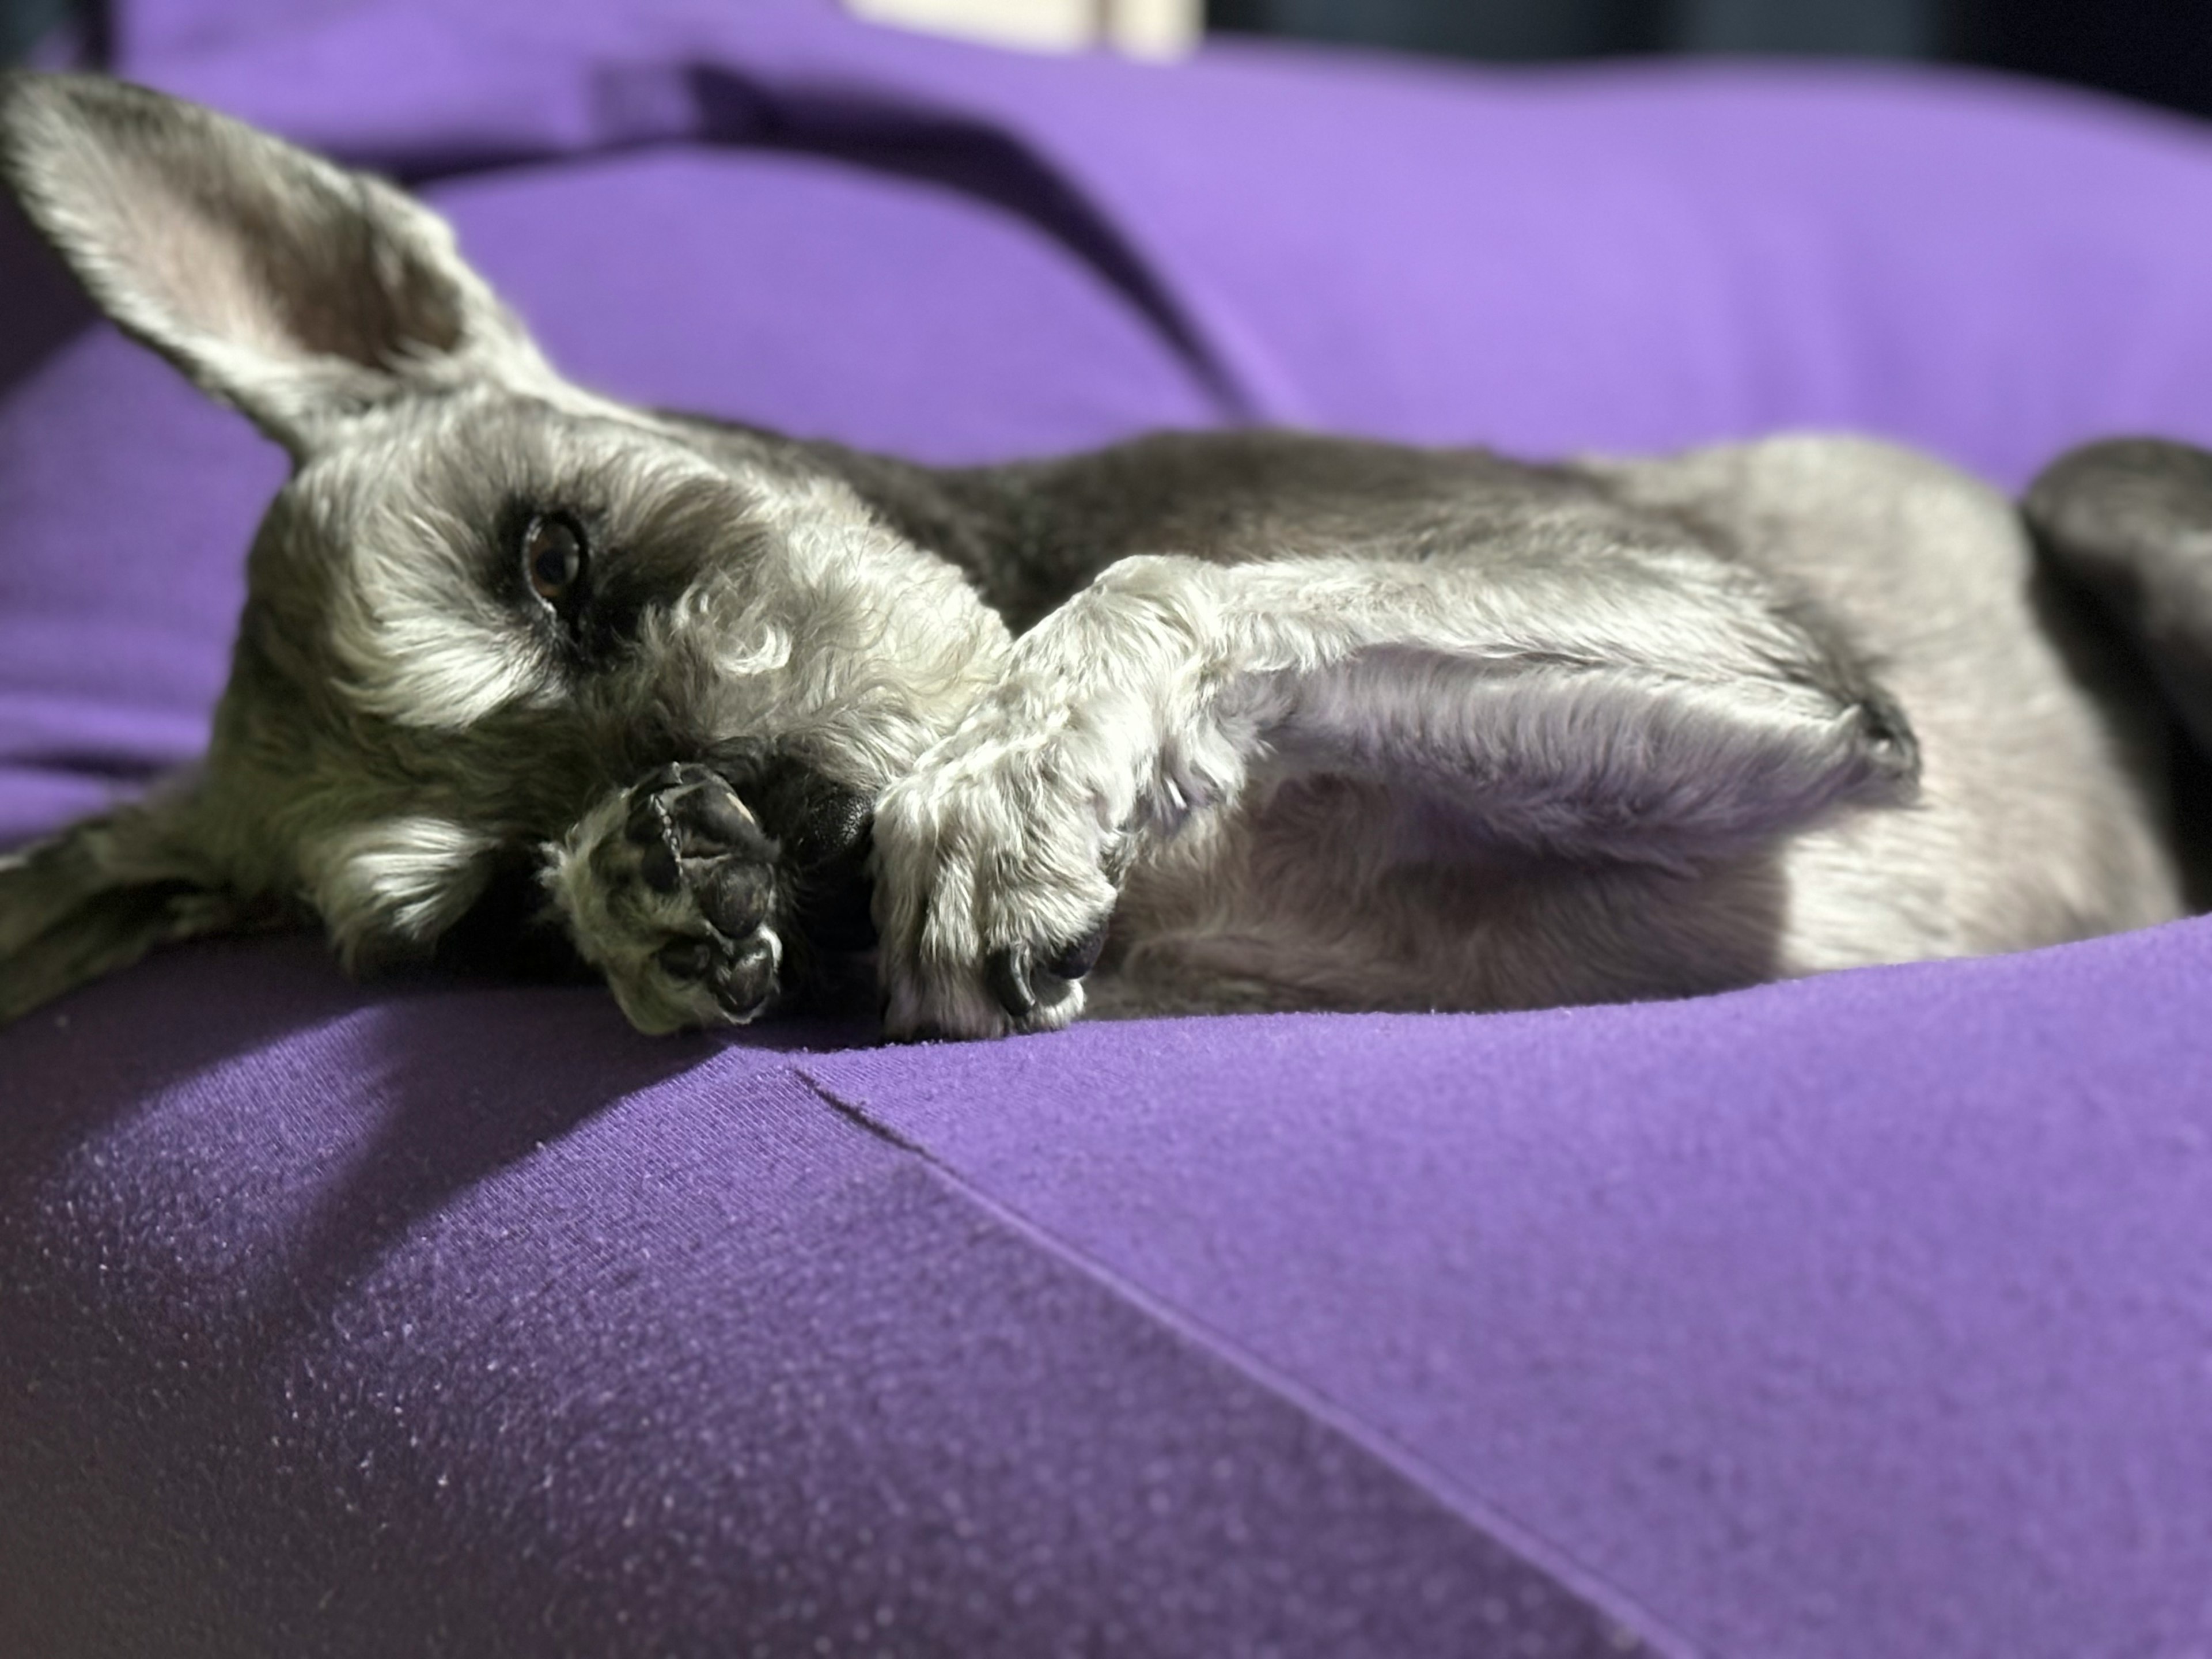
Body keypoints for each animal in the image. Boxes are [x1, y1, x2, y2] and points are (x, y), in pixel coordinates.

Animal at [4, 74, 2212, 1039]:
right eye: (482, 919)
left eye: (553, 555)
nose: (795, 847)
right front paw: (652, 905)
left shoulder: (1769, 657)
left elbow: (1162, 580)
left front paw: (1007, 791)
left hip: (2109, 494)